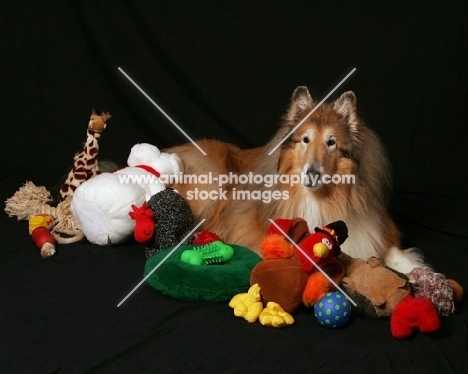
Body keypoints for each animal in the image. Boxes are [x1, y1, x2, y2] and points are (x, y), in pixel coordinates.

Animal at [166, 87, 426, 274]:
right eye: (305, 140)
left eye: (331, 142)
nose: (312, 174)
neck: (325, 199)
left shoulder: (378, 227)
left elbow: (391, 249)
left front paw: (419, 271)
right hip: (210, 180)